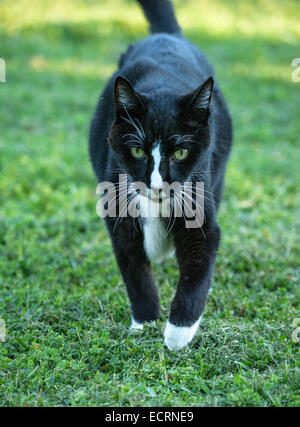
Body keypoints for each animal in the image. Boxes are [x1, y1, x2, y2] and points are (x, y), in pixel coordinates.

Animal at [88, 0, 232, 352]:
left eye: (179, 153)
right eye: (138, 151)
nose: (156, 183)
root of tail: (168, 36)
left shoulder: (199, 202)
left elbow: (198, 266)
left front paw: (176, 335)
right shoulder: (118, 209)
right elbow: (134, 269)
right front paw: (146, 323)